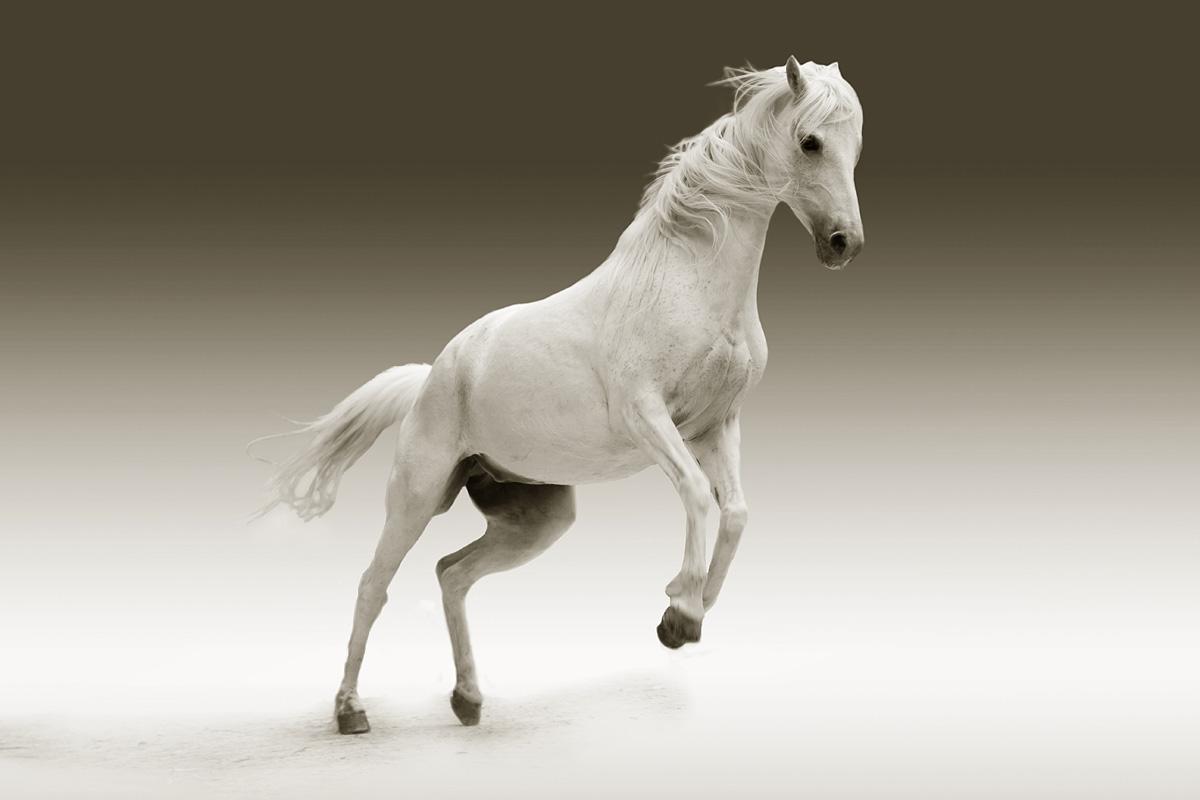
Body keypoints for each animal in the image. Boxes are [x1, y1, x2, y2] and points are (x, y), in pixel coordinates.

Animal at [252, 56, 864, 734]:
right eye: (810, 142)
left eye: (855, 146)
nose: (844, 243)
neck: (687, 283)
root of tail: (433, 376)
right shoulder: (647, 417)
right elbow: (696, 495)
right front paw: (680, 613)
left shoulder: (716, 425)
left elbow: (735, 512)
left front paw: (687, 613)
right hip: (416, 496)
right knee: (372, 585)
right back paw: (350, 711)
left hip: (537, 518)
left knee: (452, 574)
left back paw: (468, 699)